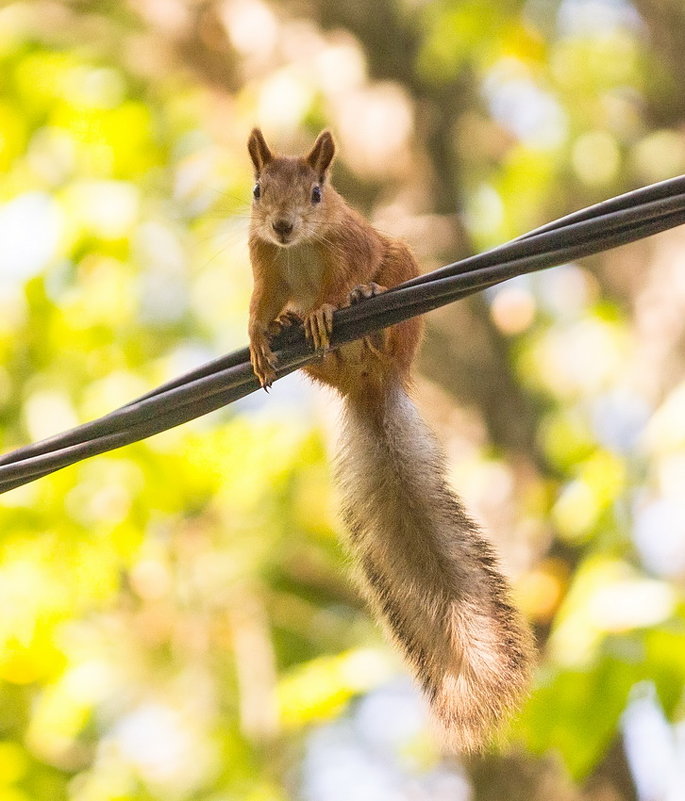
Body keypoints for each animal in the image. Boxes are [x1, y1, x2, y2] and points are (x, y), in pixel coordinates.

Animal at [246, 126, 536, 752]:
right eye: (257, 190)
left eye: (316, 192)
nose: (282, 226)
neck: (297, 249)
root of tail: (373, 387)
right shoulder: (264, 263)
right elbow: (261, 301)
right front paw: (260, 333)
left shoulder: (351, 246)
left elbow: (341, 279)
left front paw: (329, 307)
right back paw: (295, 332)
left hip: (400, 280)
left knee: (380, 303)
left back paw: (364, 322)